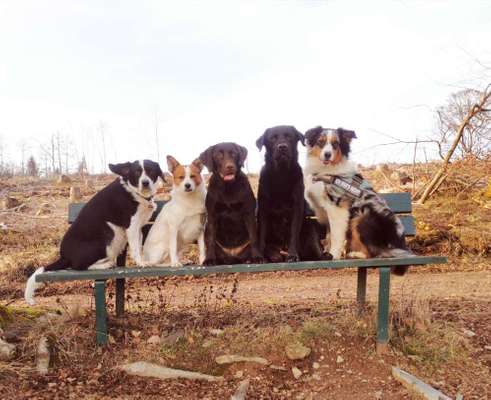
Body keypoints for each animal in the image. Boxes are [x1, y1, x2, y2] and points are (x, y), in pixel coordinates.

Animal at [24, 159, 166, 304]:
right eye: (137, 172)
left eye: (151, 171)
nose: (145, 182)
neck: (135, 192)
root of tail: (64, 256)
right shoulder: (131, 226)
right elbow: (136, 249)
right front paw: (141, 263)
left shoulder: (138, 227)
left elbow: (139, 246)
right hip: (106, 237)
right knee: (79, 266)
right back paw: (106, 265)